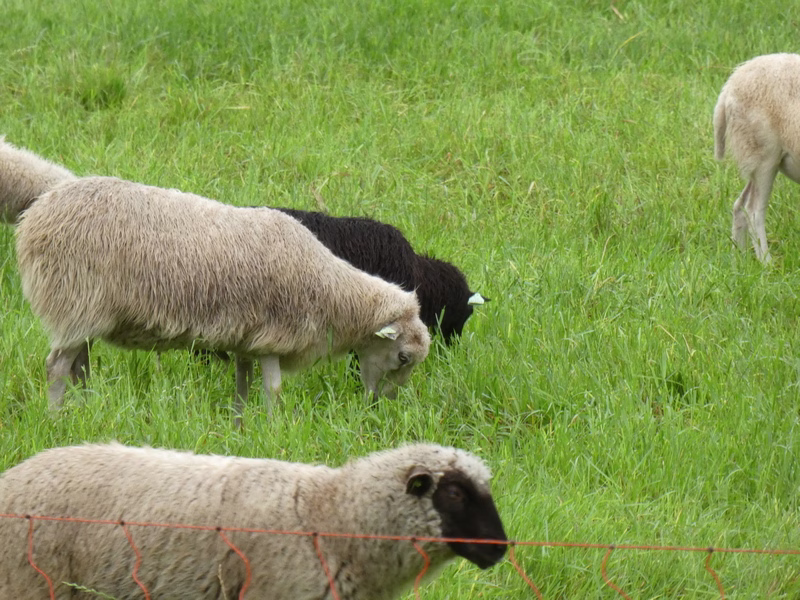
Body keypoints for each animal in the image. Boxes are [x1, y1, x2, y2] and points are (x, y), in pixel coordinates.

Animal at [15, 176, 431, 418]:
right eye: (403, 357)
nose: (380, 408)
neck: (331, 291)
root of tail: (35, 217)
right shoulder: (274, 335)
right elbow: (274, 390)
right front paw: (274, 431)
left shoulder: (248, 339)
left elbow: (242, 385)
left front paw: (240, 425)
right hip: (75, 299)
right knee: (56, 367)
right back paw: (56, 419)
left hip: (85, 313)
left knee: (79, 365)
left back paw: (86, 410)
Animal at [713, 52, 800, 263]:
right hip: (764, 155)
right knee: (753, 210)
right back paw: (766, 263)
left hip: (755, 155)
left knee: (739, 206)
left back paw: (740, 259)